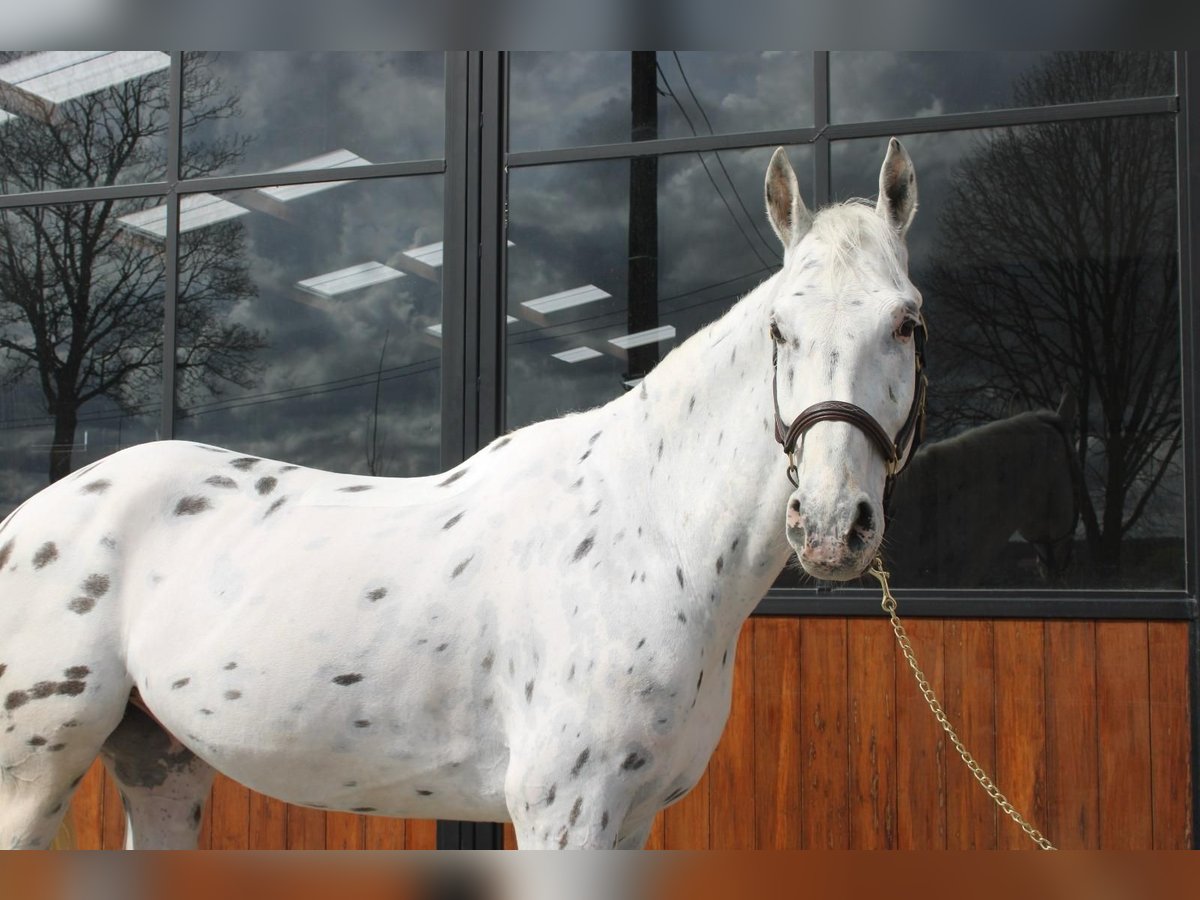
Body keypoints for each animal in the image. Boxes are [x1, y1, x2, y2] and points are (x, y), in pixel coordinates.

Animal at [0, 141, 926, 854]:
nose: (832, 525)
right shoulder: (564, 815)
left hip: (160, 764)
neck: (651, 537)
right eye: (780, 329)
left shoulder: (629, 820)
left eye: (906, 322)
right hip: (34, 775)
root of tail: (27, 519)